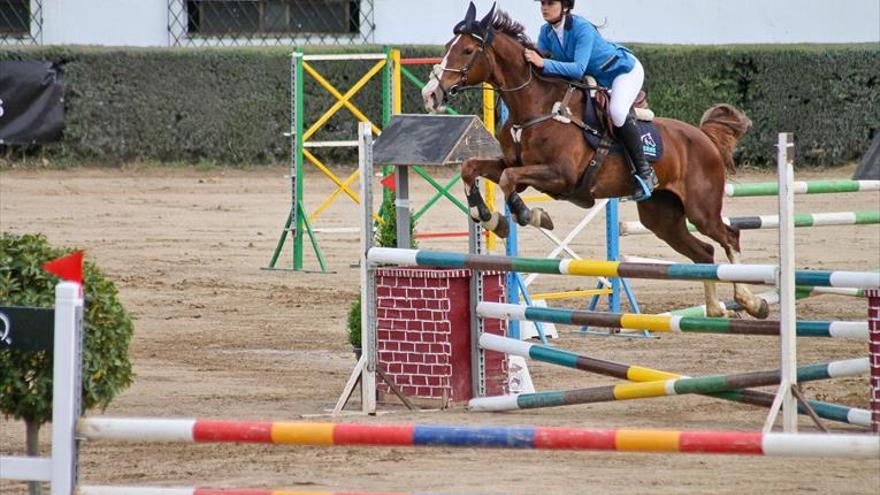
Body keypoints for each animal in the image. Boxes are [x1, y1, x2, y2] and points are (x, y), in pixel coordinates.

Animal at [422, 4, 768, 322]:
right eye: (447, 47)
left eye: (467, 50)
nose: (431, 94)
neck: (535, 106)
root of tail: (704, 137)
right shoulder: (514, 165)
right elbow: (473, 168)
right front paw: (490, 217)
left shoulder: (560, 175)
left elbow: (508, 180)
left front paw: (529, 215)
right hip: (662, 217)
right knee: (704, 251)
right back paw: (715, 308)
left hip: (701, 208)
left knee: (729, 236)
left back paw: (751, 302)